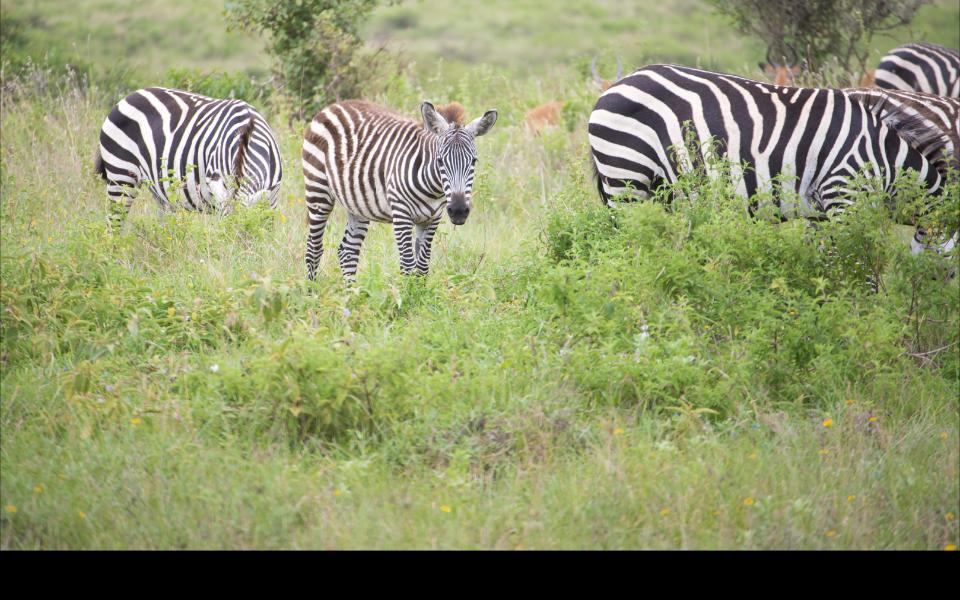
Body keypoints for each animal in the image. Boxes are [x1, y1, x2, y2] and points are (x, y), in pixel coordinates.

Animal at [302, 101, 498, 282]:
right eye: (440, 161)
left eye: (473, 161)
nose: (458, 210)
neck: (433, 190)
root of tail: (334, 105)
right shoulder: (401, 214)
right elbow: (408, 265)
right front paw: (408, 296)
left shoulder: (433, 218)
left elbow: (422, 267)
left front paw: (420, 295)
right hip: (318, 190)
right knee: (314, 248)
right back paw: (312, 291)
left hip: (357, 204)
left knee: (347, 251)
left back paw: (351, 293)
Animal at [588, 63, 956, 255]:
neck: (887, 160)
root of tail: (615, 85)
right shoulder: (844, 195)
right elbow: (858, 265)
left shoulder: (821, 212)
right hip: (626, 179)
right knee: (627, 246)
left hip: (657, 191)